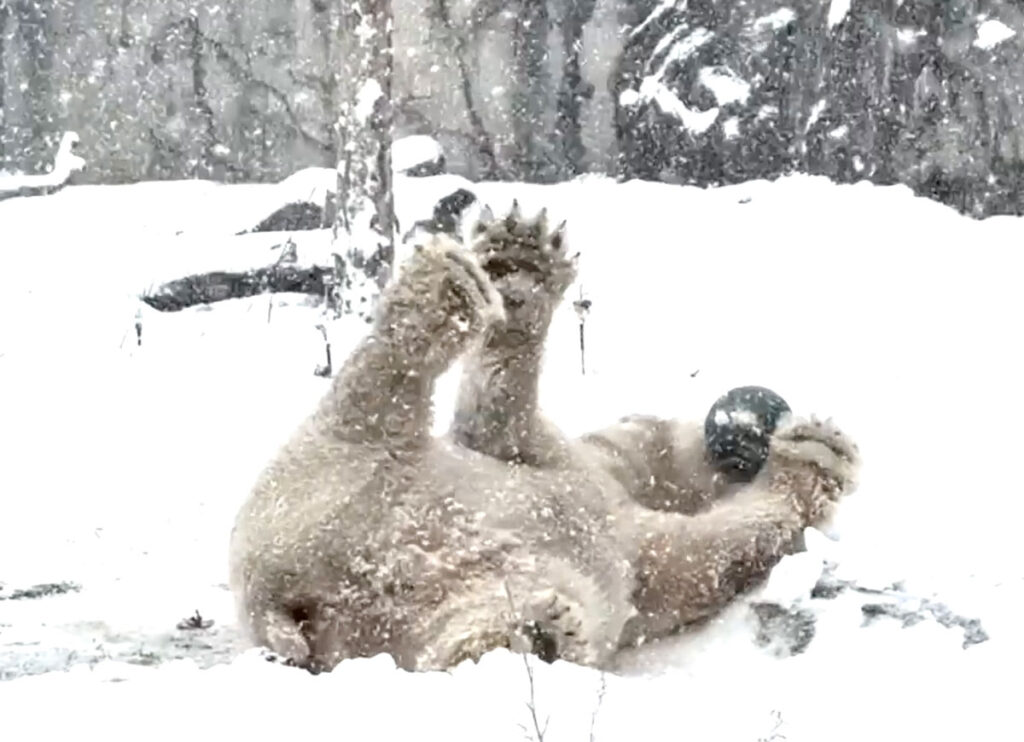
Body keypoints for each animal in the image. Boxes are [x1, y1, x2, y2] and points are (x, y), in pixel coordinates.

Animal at [228, 203, 860, 671]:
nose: (733, 431)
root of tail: (275, 601)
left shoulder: (628, 552)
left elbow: (702, 558)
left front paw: (517, 277)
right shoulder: (554, 468)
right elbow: (497, 415)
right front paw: (818, 452)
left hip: (367, 596)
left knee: (440, 624)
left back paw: (529, 633)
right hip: (310, 482)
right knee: (364, 405)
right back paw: (445, 294)